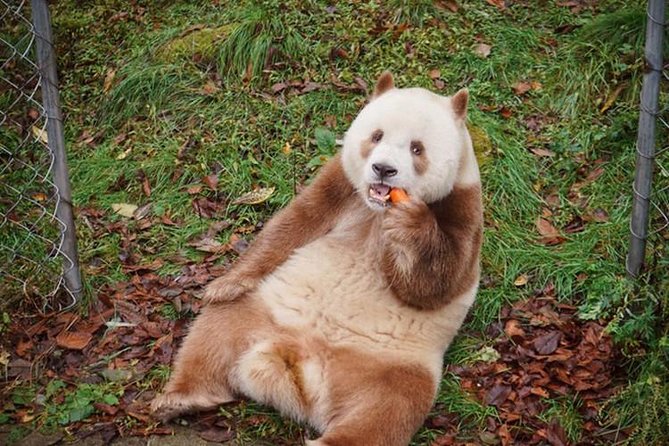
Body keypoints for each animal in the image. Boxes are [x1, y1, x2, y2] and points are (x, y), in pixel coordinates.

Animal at [151, 72, 483, 446]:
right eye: (376, 135)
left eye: (417, 148)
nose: (383, 169)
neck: (376, 210)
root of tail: (300, 371)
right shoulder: (342, 182)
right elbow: (296, 222)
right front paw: (222, 284)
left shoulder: (462, 202)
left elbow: (436, 284)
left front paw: (409, 224)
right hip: (264, 310)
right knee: (213, 334)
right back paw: (180, 397)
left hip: (392, 365)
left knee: (386, 411)